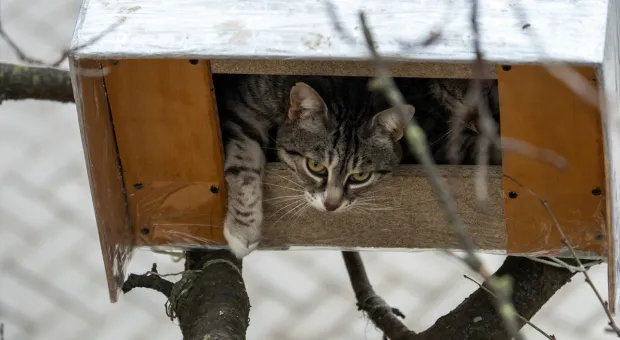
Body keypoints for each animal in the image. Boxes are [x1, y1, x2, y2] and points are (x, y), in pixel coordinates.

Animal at [212, 73, 498, 258]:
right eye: (315, 166)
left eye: (360, 176)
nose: (331, 205)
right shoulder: (244, 110)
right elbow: (242, 166)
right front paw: (243, 228)